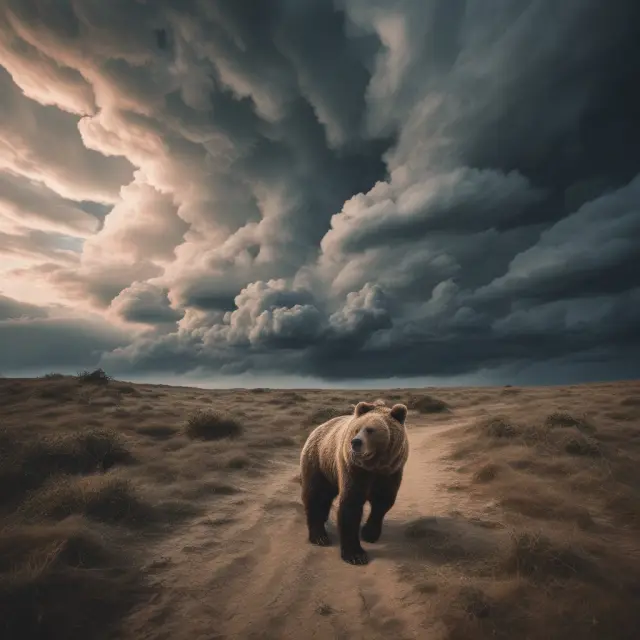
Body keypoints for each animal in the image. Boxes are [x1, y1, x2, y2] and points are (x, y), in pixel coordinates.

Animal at [300, 399, 409, 566]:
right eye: (356, 429)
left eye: (370, 430)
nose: (356, 442)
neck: (374, 466)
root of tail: (318, 428)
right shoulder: (353, 469)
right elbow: (351, 503)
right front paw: (356, 555)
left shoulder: (391, 471)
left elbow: (383, 501)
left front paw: (369, 534)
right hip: (319, 461)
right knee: (316, 495)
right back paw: (319, 536)